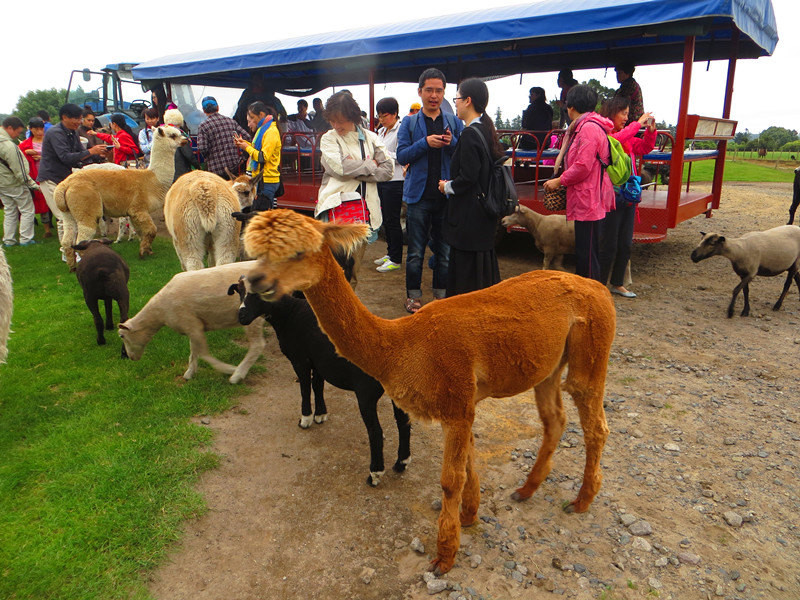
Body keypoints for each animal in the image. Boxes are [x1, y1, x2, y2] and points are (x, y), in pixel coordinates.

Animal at [56, 128, 188, 270]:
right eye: (173, 135)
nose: (186, 140)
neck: (153, 179)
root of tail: (65, 184)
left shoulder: (133, 213)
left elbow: (141, 232)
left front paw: (147, 250)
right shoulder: (139, 208)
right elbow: (152, 230)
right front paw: (143, 252)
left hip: (68, 213)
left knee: (67, 240)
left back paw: (72, 267)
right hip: (86, 206)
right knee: (82, 239)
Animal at [118, 258, 266, 382]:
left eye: (122, 336)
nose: (130, 357)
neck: (159, 312)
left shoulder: (191, 324)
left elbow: (203, 353)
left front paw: (228, 369)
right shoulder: (192, 326)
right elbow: (194, 351)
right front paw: (190, 373)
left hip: (251, 315)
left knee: (258, 345)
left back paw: (238, 374)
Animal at [227, 278, 410, 488]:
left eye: (261, 292)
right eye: (240, 292)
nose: (241, 316)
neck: (288, 313)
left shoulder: (300, 360)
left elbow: (305, 388)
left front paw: (305, 419)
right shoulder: (320, 361)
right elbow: (318, 386)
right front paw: (320, 414)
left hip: (366, 393)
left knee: (376, 432)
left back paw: (375, 474)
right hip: (398, 390)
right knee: (403, 423)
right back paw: (401, 463)